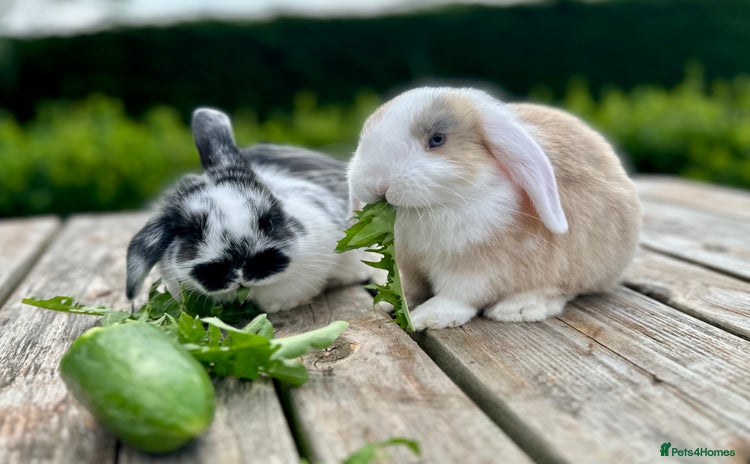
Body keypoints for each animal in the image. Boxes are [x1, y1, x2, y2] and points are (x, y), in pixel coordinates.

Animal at [348, 87, 641, 330]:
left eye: (437, 139)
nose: (376, 183)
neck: (437, 205)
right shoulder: (409, 267)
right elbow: (409, 287)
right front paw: (392, 302)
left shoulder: (477, 270)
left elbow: (458, 296)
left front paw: (427, 317)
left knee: (563, 288)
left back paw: (518, 309)